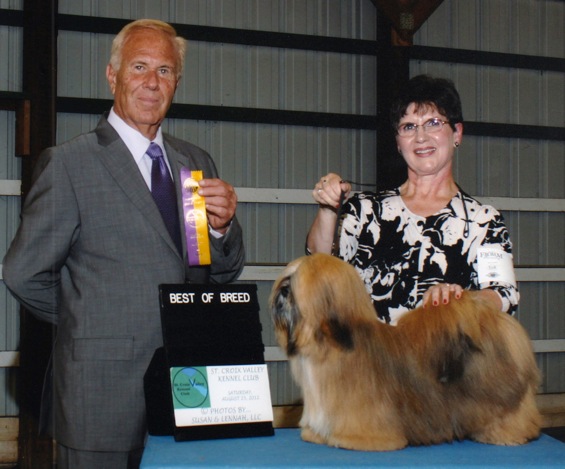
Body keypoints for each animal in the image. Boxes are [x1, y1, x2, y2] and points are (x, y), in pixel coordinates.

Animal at [270, 254, 540, 452]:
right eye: (286, 281)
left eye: (296, 285)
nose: (283, 291)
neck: (332, 344)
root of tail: (487, 319)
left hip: (496, 396)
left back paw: (507, 434)